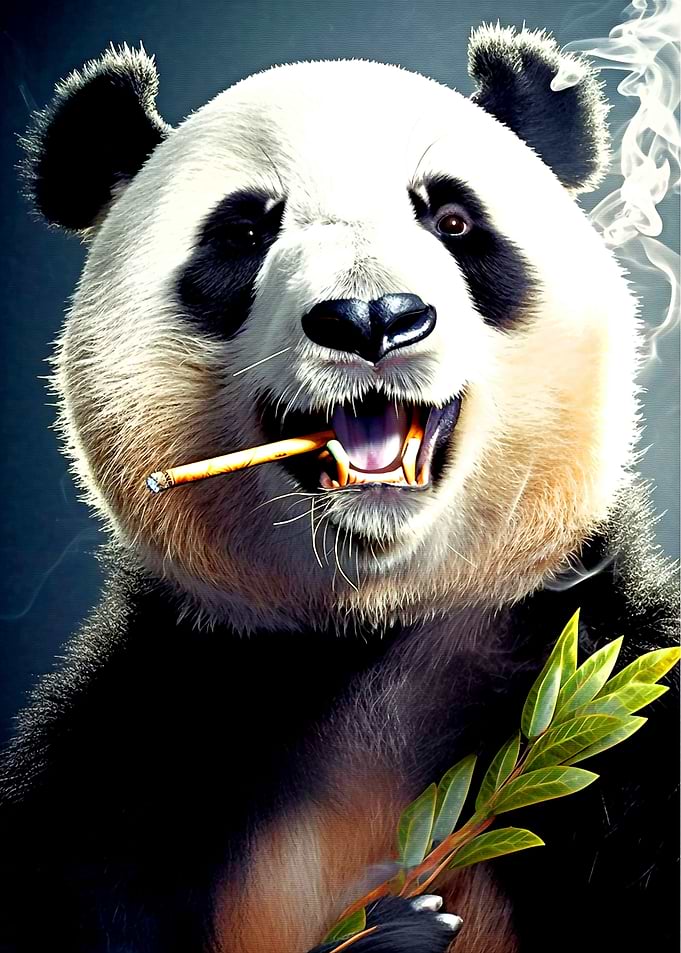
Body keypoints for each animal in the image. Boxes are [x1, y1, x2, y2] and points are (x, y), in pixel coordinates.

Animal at [0, 25, 678, 953]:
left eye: (451, 219)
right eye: (245, 230)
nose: (371, 319)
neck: (367, 629)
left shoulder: (600, 672)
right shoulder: (140, 732)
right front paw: (396, 928)